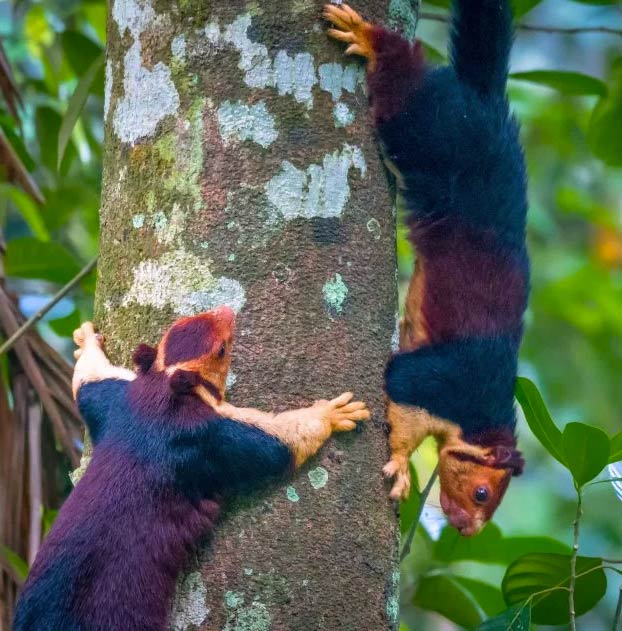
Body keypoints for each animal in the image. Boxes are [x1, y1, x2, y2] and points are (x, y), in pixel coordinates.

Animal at [13, 310, 370, 631]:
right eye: (221, 349)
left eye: (182, 323)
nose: (227, 312)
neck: (163, 393)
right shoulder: (211, 436)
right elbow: (281, 444)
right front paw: (331, 414)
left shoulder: (116, 400)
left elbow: (87, 379)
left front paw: (86, 339)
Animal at [330, 0, 528, 536]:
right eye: (482, 493)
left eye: (493, 503)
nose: (467, 530)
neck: (481, 417)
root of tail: (486, 102)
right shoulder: (447, 382)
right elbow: (400, 389)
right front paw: (400, 466)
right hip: (440, 131)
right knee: (407, 91)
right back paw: (371, 39)